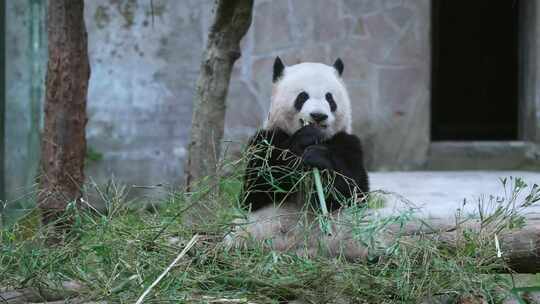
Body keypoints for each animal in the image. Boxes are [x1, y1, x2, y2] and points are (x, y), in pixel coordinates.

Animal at [228, 57, 372, 258]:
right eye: (302, 96)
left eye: (330, 98)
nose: (318, 115)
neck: (320, 138)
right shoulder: (264, 141)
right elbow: (256, 187)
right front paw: (303, 141)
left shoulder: (347, 143)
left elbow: (353, 190)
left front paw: (318, 158)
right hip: (255, 227)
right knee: (239, 235)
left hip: (352, 229)